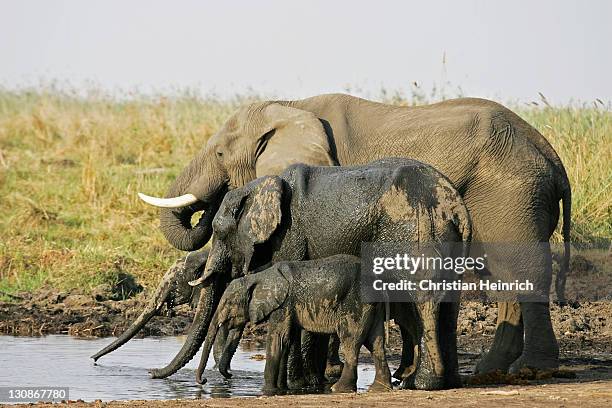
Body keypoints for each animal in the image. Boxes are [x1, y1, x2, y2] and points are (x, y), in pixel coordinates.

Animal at [198, 255, 394, 392]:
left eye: (228, 303)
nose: (204, 381)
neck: (259, 276)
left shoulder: (283, 304)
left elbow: (278, 339)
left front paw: (267, 390)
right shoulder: (288, 308)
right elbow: (287, 340)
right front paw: (281, 389)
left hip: (356, 304)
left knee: (350, 342)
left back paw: (338, 389)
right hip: (372, 307)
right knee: (376, 344)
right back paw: (379, 389)